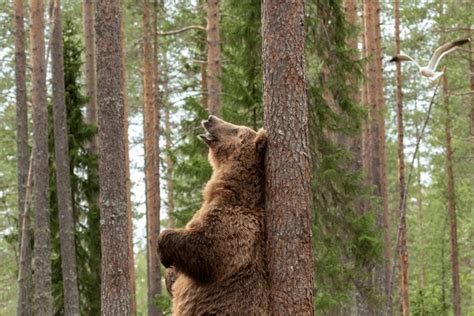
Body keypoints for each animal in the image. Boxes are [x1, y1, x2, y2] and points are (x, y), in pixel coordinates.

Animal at [157, 116, 268, 316]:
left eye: (235, 129)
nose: (210, 118)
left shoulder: (237, 226)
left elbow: (207, 248)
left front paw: (164, 253)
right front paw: (170, 276)